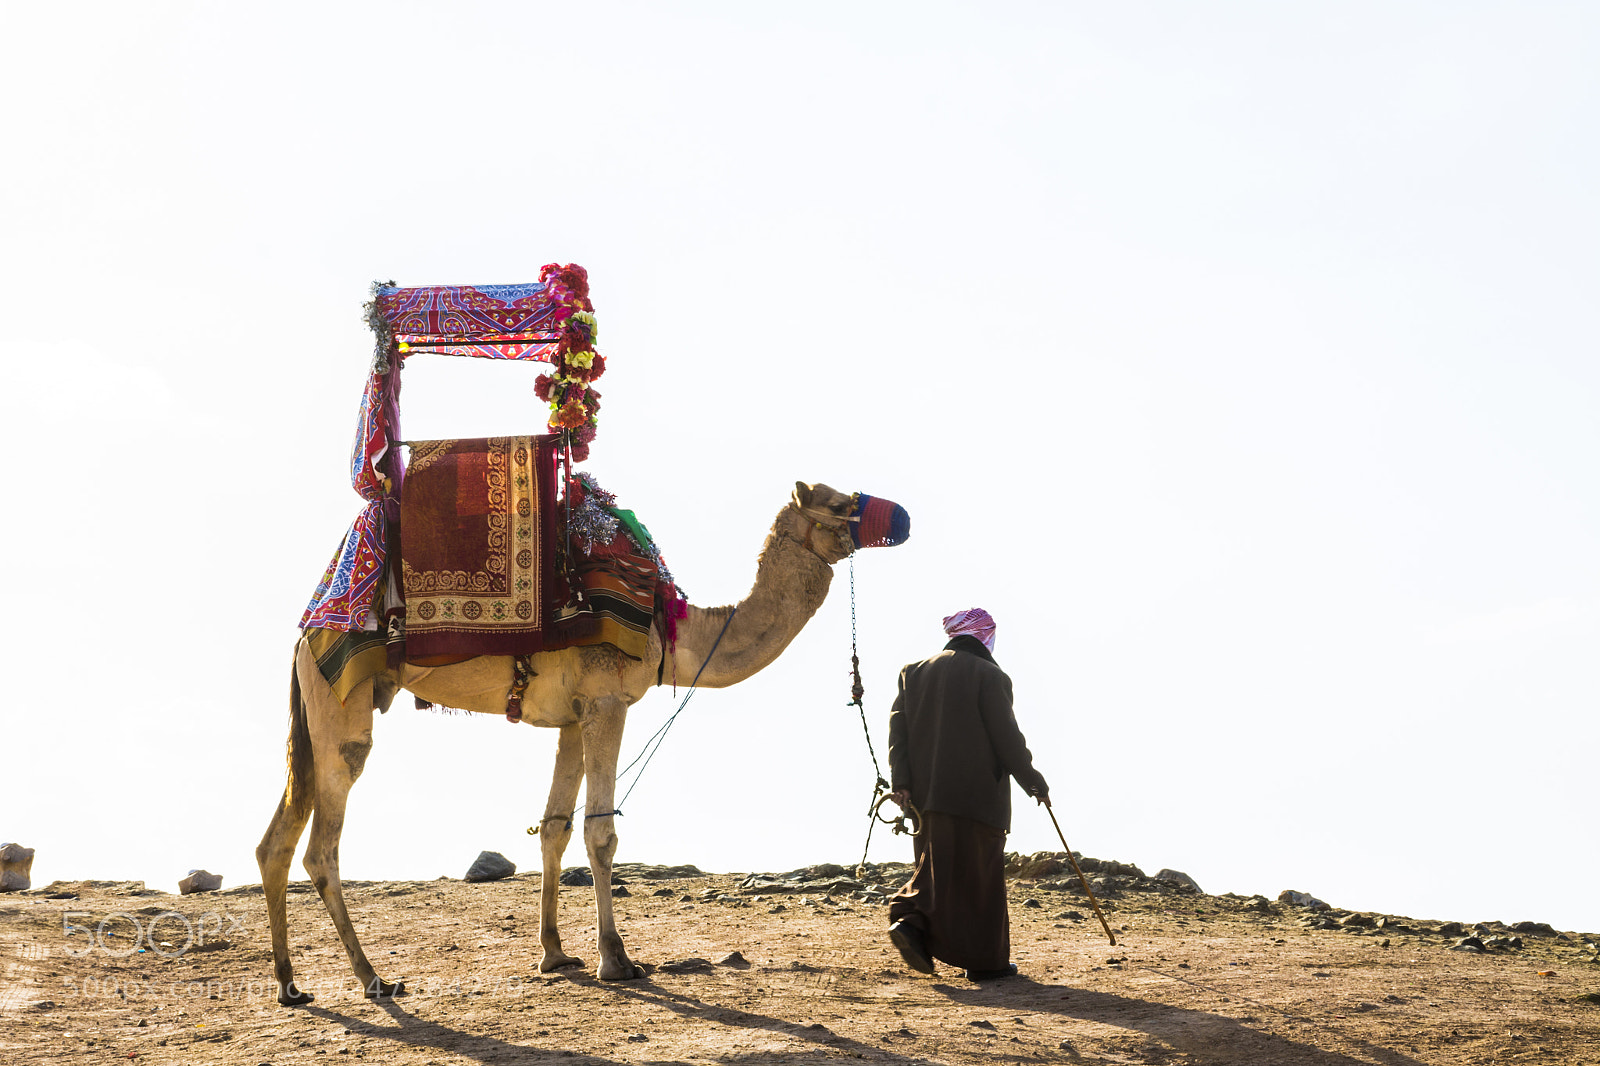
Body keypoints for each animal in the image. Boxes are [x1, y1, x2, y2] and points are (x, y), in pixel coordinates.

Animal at [257, 481, 896, 1006]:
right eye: (840, 502)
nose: (903, 518)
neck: (672, 628)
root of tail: (304, 634)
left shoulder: (571, 716)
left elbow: (555, 828)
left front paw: (555, 954)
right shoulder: (607, 701)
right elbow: (601, 832)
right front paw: (616, 959)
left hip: (316, 715)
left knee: (276, 841)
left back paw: (291, 985)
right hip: (342, 704)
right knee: (322, 845)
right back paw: (372, 978)